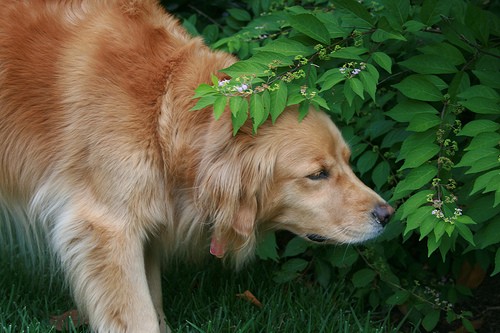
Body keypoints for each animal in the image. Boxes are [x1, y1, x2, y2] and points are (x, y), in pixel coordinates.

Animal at [0, 1, 394, 330]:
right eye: (317, 174)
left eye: (347, 161)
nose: (387, 215)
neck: (161, 106)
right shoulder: (107, 228)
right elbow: (140, 317)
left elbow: (155, 305)